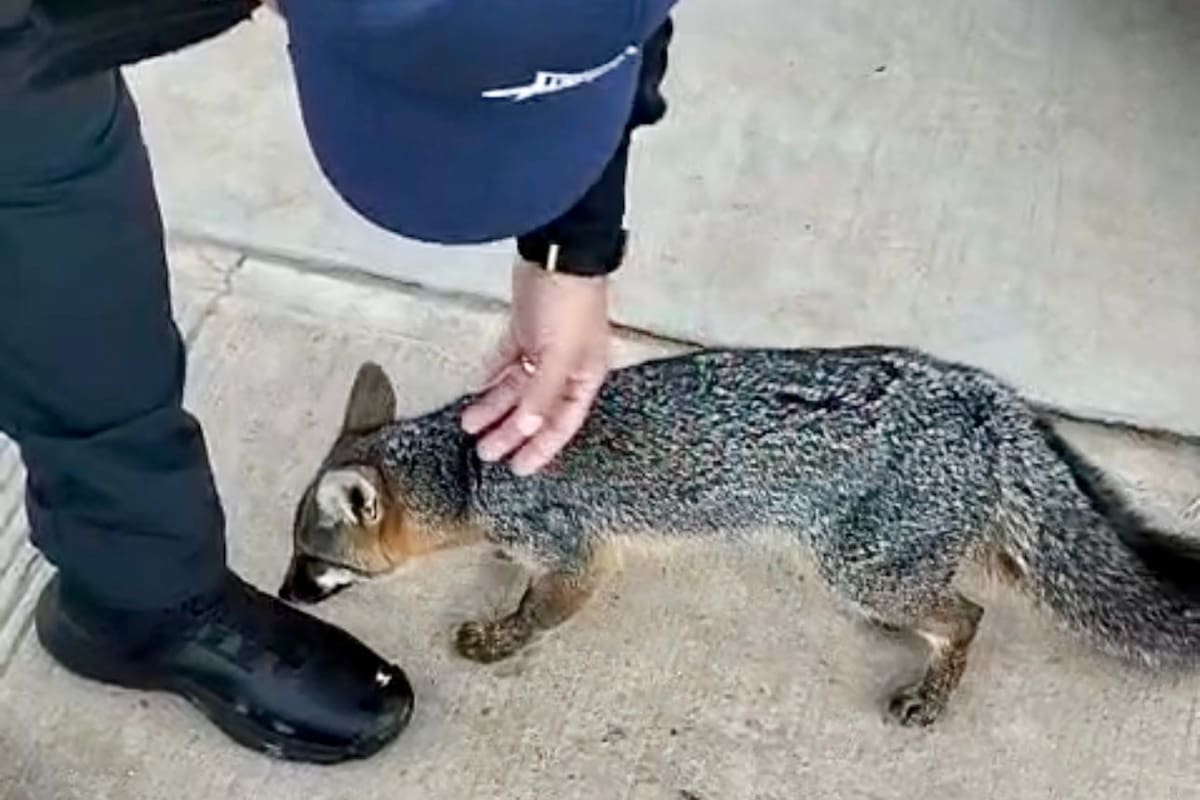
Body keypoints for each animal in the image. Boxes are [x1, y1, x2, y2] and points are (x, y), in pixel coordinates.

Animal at [278, 346, 1200, 726]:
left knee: (968, 616)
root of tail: (987, 399)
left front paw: (500, 638)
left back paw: (932, 691)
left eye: (311, 560)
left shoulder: (580, 555)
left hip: (858, 565)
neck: (472, 468)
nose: (283, 594)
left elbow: (540, 612)